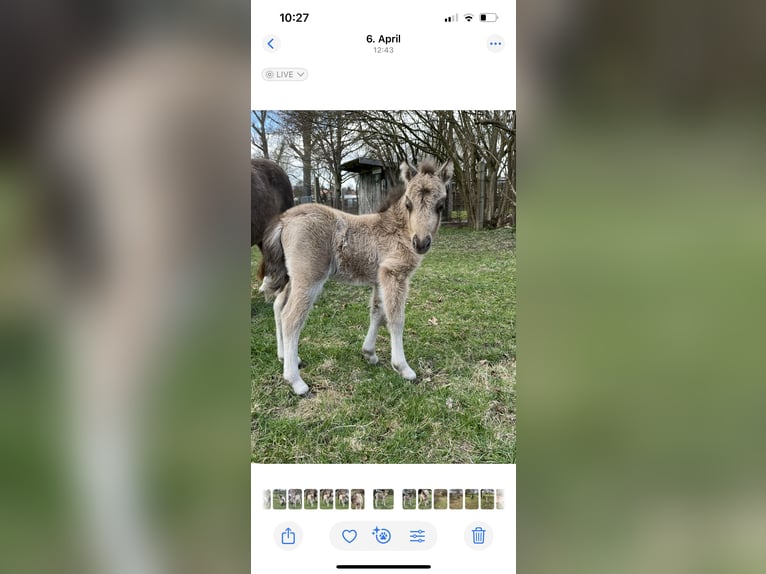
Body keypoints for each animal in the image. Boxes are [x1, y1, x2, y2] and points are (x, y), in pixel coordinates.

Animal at [259, 158, 453, 395]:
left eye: (440, 205)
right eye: (408, 204)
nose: (421, 243)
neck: (398, 229)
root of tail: (285, 219)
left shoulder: (379, 279)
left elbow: (377, 313)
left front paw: (369, 353)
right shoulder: (394, 274)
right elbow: (395, 319)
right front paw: (403, 367)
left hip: (291, 277)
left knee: (278, 306)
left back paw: (287, 357)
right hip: (309, 278)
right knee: (291, 317)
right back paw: (295, 381)